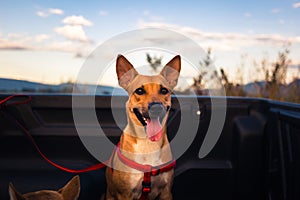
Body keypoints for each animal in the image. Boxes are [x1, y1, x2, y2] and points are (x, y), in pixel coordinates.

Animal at [105, 54, 180, 200]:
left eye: (164, 90)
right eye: (139, 91)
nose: (156, 108)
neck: (148, 144)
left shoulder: (166, 192)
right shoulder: (125, 194)